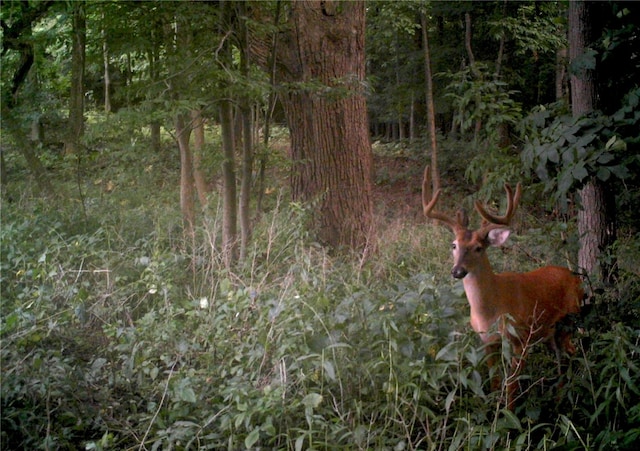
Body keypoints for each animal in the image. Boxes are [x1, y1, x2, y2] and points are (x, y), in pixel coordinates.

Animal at [422, 165, 584, 410]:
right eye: (454, 245)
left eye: (478, 248)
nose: (457, 271)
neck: (489, 311)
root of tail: (576, 279)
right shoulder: (487, 341)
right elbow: (494, 381)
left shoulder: (521, 338)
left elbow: (512, 387)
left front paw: (508, 414)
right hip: (549, 331)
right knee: (561, 357)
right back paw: (557, 399)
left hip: (569, 319)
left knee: (571, 353)